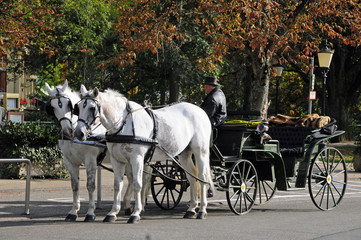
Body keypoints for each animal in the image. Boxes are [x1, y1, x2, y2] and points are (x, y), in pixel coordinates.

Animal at [44, 80, 136, 221]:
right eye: (53, 107)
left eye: (69, 105)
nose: (67, 131)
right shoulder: (70, 162)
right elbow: (75, 186)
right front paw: (73, 211)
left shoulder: (90, 161)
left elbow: (90, 185)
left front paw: (90, 212)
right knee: (131, 179)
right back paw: (127, 206)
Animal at [73, 86, 214, 223]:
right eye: (78, 108)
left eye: (92, 108)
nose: (79, 133)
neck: (123, 125)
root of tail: (200, 110)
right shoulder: (117, 160)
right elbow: (118, 185)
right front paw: (112, 213)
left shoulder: (137, 159)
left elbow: (137, 184)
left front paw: (135, 213)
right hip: (184, 154)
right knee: (192, 178)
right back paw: (191, 209)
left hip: (200, 151)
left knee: (203, 177)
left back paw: (202, 210)